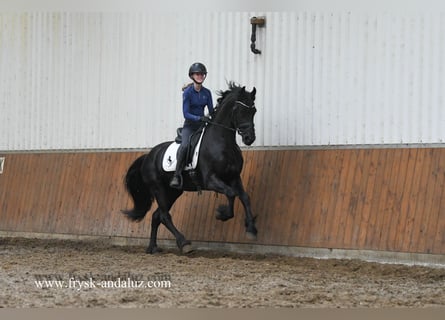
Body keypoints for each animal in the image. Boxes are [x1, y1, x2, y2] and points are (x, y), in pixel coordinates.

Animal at [123, 82, 258, 252]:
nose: (249, 138)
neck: (222, 143)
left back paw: (152, 248)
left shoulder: (234, 177)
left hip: (173, 192)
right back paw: (184, 243)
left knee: (157, 215)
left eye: (253, 111)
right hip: (158, 189)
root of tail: (148, 156)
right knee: (165, 216)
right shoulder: (211, 180)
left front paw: (251, 229)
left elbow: (244, 197)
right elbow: (231, 193)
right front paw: (222, 213)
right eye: (240, 111)